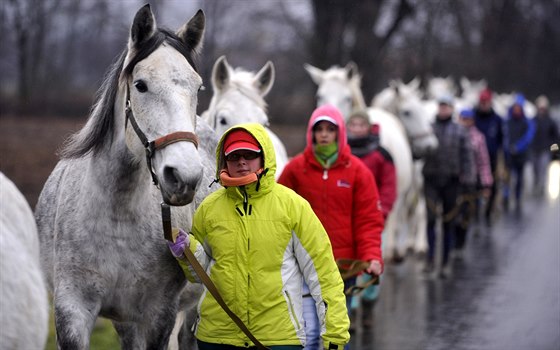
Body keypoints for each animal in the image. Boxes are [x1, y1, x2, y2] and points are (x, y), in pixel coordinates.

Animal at [33, 4, 217, 348]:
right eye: (141, 85)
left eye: (198, 87)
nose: (183, 176)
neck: (116, 215)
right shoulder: (72, 310)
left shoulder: (159, 314)